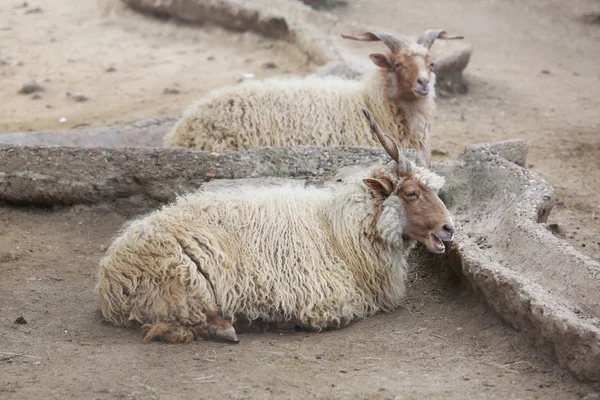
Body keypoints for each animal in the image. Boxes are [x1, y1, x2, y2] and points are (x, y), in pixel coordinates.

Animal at [98, 109, 454, 344]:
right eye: (410, 193)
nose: (449, 229)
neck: (338, 232)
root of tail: (109, 278)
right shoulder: (321, 298)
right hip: (180, 280)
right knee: (186, 319)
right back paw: (234, 327)